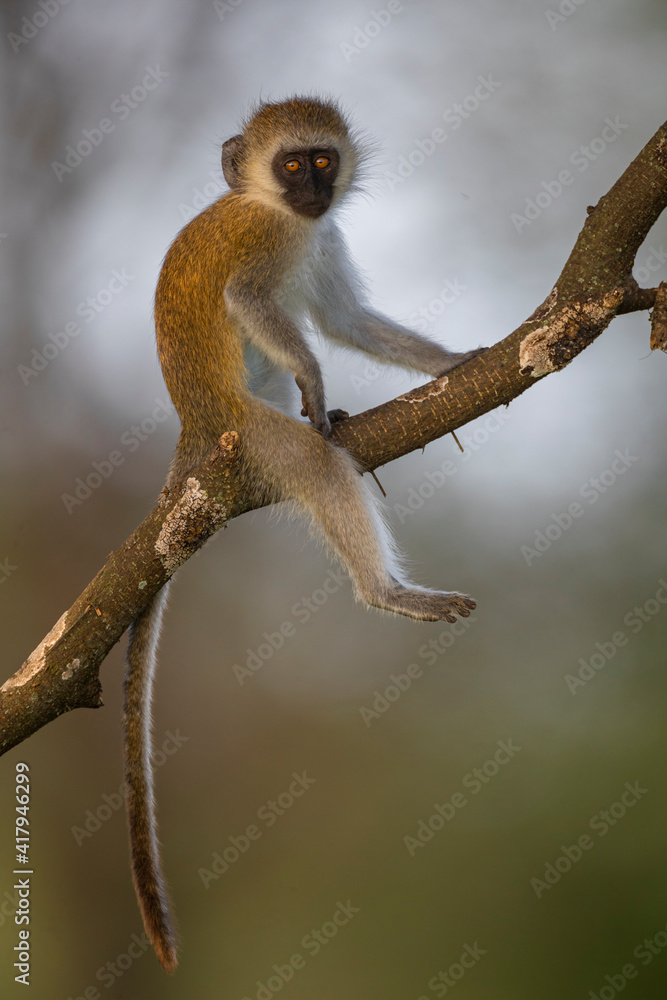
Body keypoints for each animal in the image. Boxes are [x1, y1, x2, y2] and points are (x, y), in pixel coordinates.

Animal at [123, 96, 481, 973]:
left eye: (322, 161)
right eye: (292, 166)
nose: (314, 190)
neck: (278, 209)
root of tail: (198, 427)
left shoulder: (321, 236)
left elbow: (346, 319)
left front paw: (454, 360)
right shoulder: (270, 239)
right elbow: (252, 303)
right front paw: (316, 380)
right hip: (252, 434)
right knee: (315, 462)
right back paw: (383, 591)